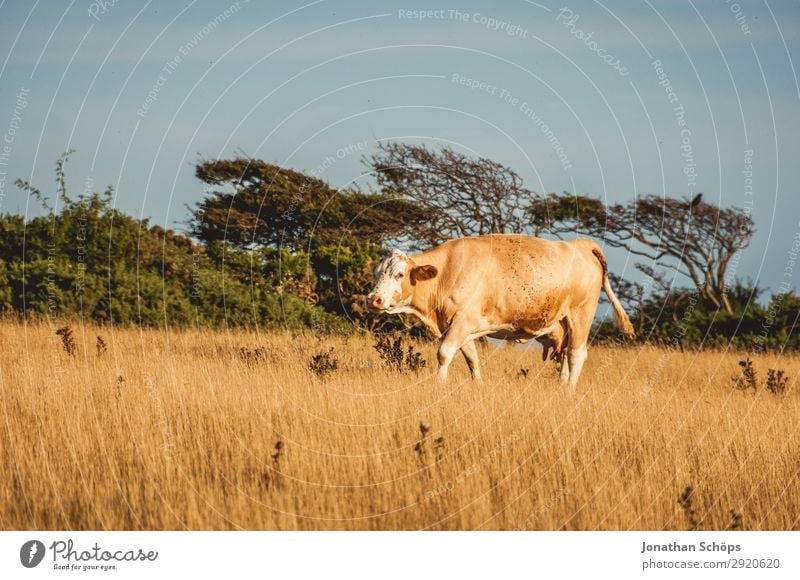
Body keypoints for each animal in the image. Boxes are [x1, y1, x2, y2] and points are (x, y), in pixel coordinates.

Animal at [366, 233, 636, 388]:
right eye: (377, 272)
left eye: (399, 274)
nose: (374, 299)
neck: (447, 272)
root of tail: (581, 245)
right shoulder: (458, 326)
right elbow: (472, 359)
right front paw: (478, 386)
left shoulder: (463, 321)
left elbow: (443, 354)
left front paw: (439, 385)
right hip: (565, 323)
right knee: (567, 358)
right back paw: (561, 386)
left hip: (581, 314)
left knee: (576, 355)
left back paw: (569, 390)